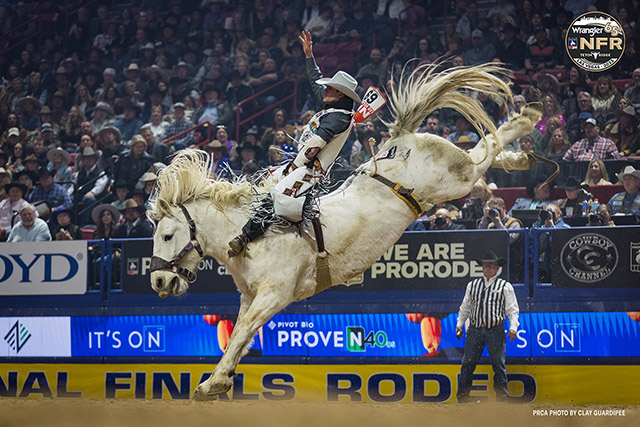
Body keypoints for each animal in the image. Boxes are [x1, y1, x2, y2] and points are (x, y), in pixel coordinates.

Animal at [149, 63, 542, 401]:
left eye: (167, 235)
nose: (158, 281)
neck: (251, 233)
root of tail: (401, 139)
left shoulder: (274, 295)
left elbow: (242, 332)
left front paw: (210, 384)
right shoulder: (250, 297)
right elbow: (240, 336)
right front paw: (223, 378)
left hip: (456, 181)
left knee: (483, 151)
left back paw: (527, 120)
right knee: (484, 150)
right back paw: (520, 156)